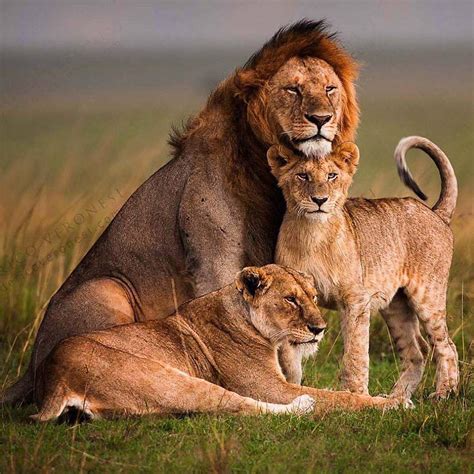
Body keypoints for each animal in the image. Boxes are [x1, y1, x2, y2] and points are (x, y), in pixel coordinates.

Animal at [3, 19, 360, 404]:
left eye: (330, 89)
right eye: (293, 89)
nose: (321, 118)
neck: (263, 171)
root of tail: (30, 368)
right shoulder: (215, 262)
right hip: (106, 288)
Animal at [30, 262, 404, 422]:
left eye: (312, 297)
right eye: (290, 300)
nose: (320, 328)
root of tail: (53, 377)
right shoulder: (270, 387)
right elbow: (338, 398)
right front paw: (391, 402)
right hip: (166, 378)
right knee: (239, 405)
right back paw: (303, 406)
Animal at [270, 138, 460, 400]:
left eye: (331, 176)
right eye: (302, 176)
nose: (320, 200)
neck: (312, 234)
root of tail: (435, 212)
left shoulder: (356, 299)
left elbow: (355, 352)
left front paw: (355, 393)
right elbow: (290, 357)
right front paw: (291, 389)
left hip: (428, 295)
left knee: (446, 345)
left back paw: (444, 393)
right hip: (396, 306)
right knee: (416, 352)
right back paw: (396, 399)